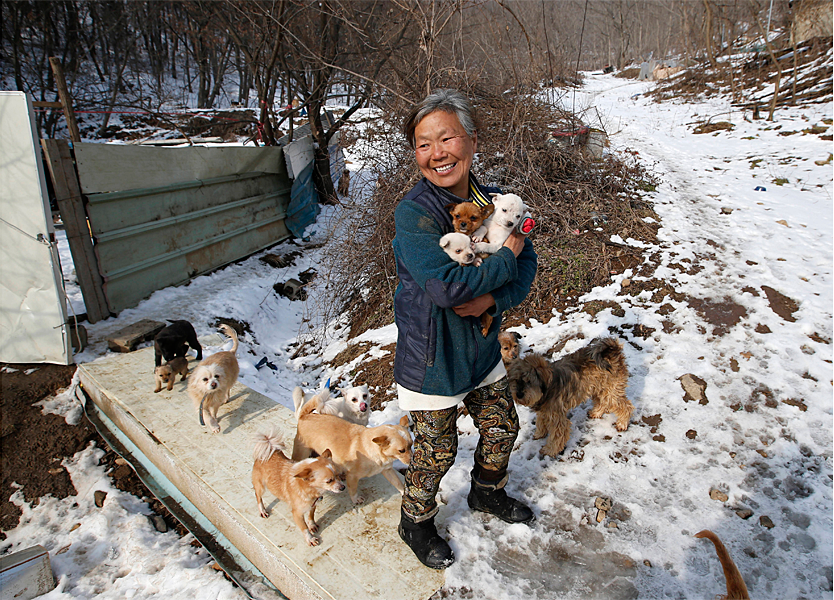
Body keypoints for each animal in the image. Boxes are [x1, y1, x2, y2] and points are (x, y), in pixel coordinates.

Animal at [500, 336, 632, 458]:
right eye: (515, 380)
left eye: (529, 381)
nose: (519, 394)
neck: (547, 387)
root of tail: (612, 349)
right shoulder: (545, 411)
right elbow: (540, 421)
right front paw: (539, 433)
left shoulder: (557, 417)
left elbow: (557, 436)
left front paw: (549, 450)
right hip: (598, 388)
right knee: (602, 402)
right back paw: (596, 412)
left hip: (611, 390)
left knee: (625, 406)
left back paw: (622, 423)